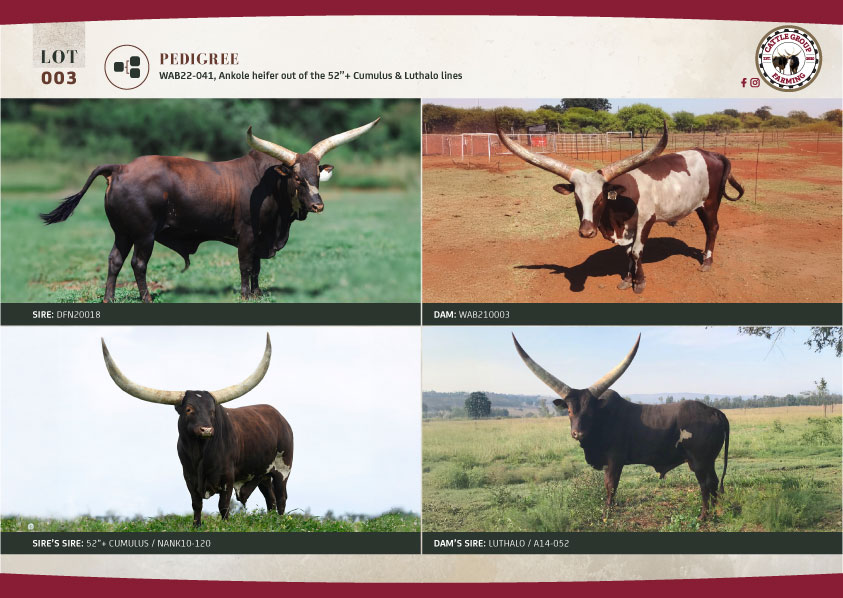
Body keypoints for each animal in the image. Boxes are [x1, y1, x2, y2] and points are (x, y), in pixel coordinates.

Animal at [41, 119, 380, 302]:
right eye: (297, 178)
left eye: (316, 177)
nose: (318, 204)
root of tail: (120, 167)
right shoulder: (247, 233)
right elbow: (246, 265)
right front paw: (245, 294)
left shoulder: (262, 236)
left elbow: (257, 267)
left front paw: (257, 293)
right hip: (144, 233)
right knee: (138, 263)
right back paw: (146, 297)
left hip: (122, 232)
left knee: (114, 261)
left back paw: (108, 298)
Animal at [101, 333, 293, 526]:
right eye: (188, 409)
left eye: (212, 411)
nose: (206, 430)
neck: (200, 453)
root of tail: (280, 417)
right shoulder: (189, 477)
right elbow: (196, 504)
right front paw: (196, 525)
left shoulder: (228, 476)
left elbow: (224, 505)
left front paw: (225, 525)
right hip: (262, 473)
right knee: (270, 497)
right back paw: (272, 521)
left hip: (283, 468)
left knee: (281, 496)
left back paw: (280, 522)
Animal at [497, 119, 744, 293]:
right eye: (576, 198)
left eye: (600, 199)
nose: (586, 231)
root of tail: (712, 153)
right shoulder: (626, 230)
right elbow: (627, 253)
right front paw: (627, 279)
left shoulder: (646, 222)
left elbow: (636, 252)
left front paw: (639, 282)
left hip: (710, 203)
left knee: (712, 228)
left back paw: (707, 261)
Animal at [512, 333, 730, 519]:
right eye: (569, 411)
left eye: (590, 410)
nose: (577, 433)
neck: (602, 421)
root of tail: (714, 411)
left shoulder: (615, 460)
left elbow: (611, 486)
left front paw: (606, 515)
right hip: (709, 460)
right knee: (714, 482)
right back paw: (716, 513)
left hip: (699, 461)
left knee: (706, 484)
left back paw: (703, 516)